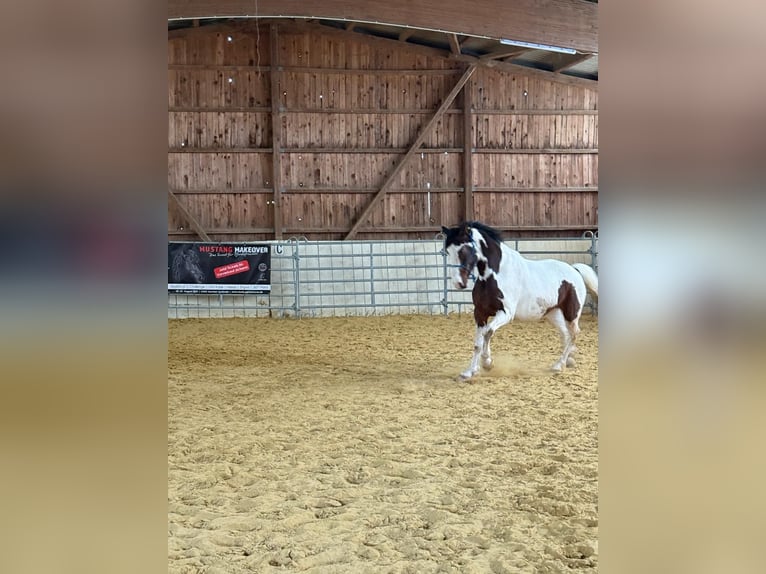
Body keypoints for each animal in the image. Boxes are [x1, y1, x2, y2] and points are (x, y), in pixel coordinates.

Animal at [442, 221, 599, 380]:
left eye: (463, 250)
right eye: (447, 252)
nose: (458, 283)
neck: (495, 274)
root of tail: (575, 270)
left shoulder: (506, 313)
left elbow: (488, 332)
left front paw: (487, 363)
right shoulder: (480, 313)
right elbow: (478, 343)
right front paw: (469, 372)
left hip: (571, 313)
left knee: (574, 334)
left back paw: (559, 365)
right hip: (552, 313)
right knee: (565, 334)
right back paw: (562, 363)